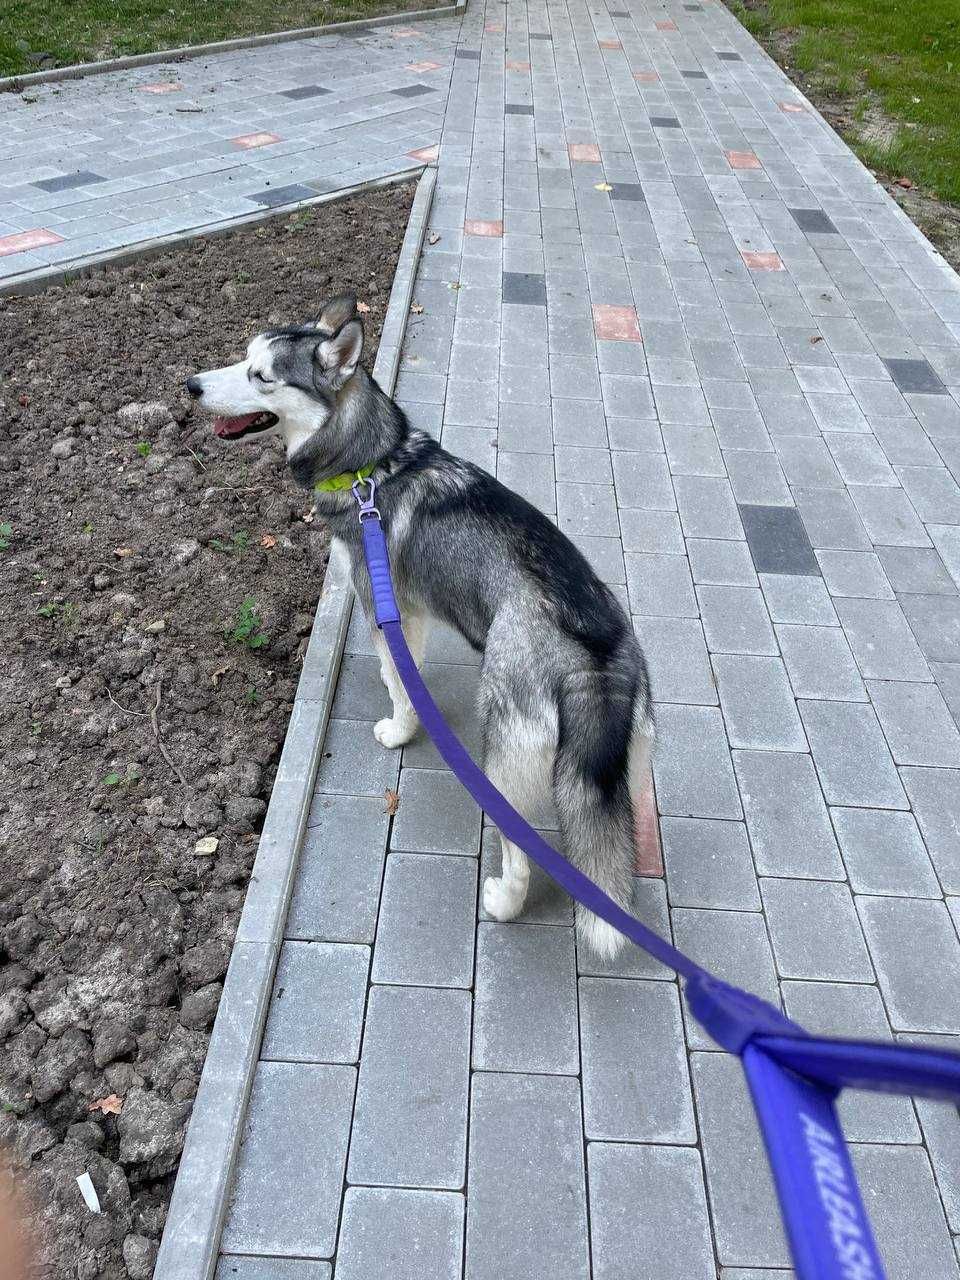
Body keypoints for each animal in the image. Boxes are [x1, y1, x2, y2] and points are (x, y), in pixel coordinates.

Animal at [188, 294, 655, 957]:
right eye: (242, 357)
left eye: (261, 377)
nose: (191, 385)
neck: (371, 466)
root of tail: (591, 656)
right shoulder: (416, 612)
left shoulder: (386, 607)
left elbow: (398, 681)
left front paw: (400, 730)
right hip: (623, 767)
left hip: (503, 762)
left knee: (521, 853)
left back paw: (505, 902)